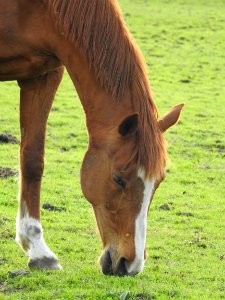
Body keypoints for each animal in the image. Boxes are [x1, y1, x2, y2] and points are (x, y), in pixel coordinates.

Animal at [0, 0, 183, 276]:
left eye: (158, 182)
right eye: (118, 179)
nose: (131, 264)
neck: (43, 8)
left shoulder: (43, 75)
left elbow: (32, 160)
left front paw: (38, 250)